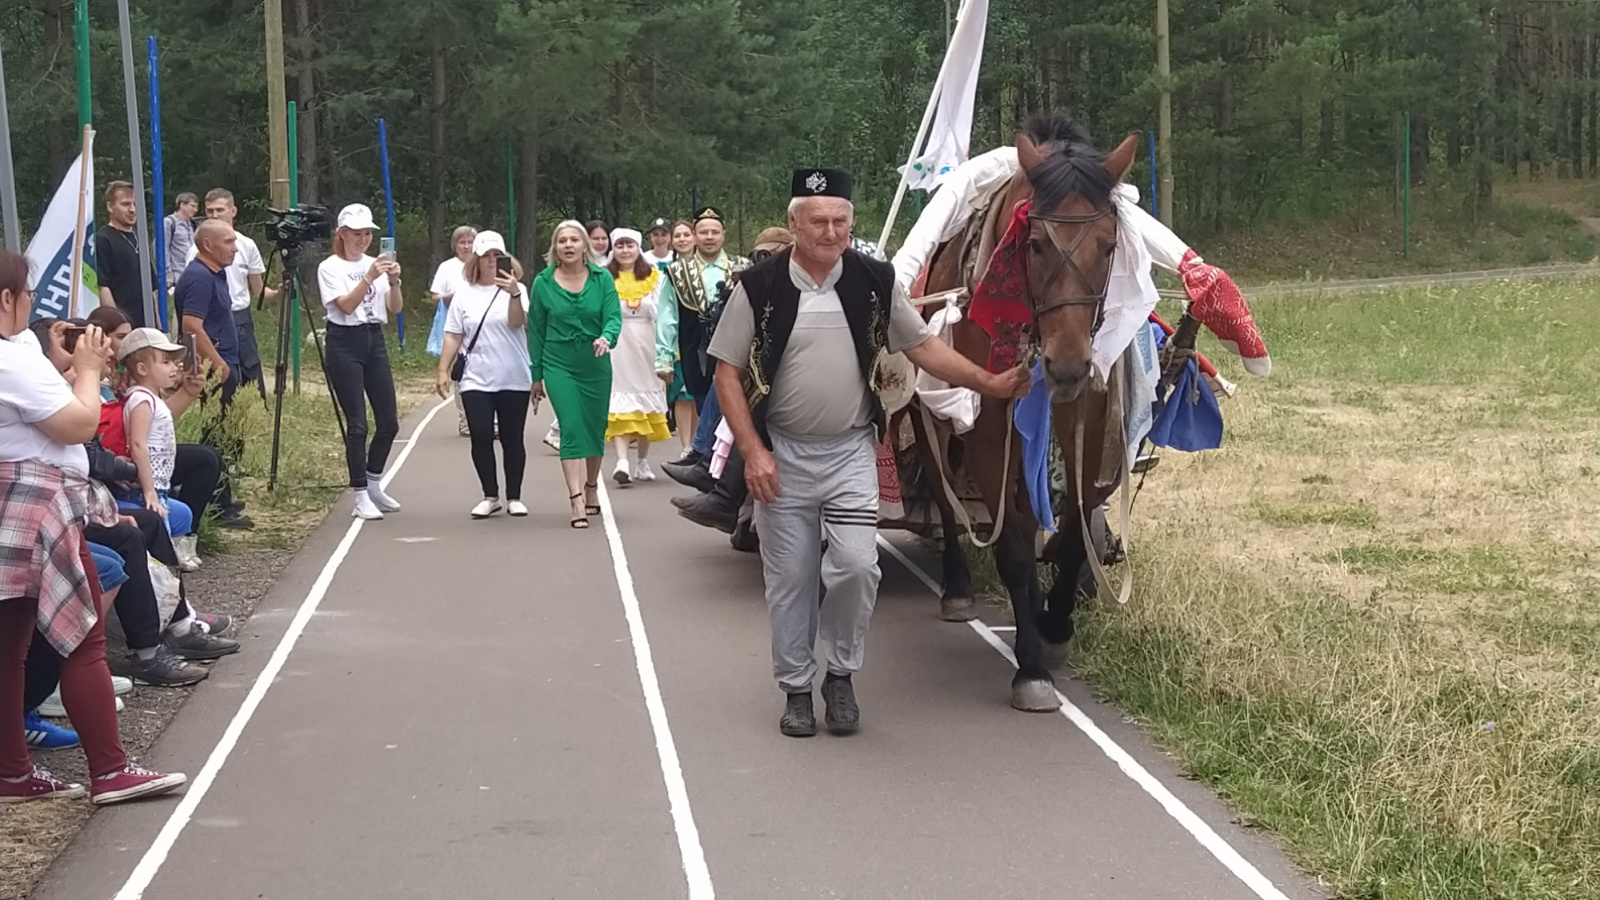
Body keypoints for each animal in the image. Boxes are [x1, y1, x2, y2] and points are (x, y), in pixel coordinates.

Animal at [915, 112, 1139, 711]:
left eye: (1109, 244)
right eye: (1034, 244)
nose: (1067, 364)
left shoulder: (1088, 416)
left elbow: (1077, 528)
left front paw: (1054, 624)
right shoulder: (991, 428)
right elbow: (1014, 544)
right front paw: (1032, 666)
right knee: (945, 495)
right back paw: (957, 587)